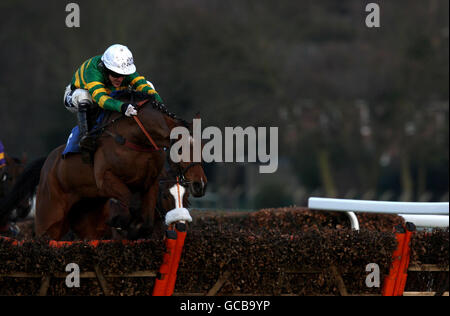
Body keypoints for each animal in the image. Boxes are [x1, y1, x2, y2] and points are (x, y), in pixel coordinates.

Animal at [0, 91, 207, 239]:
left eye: (202, 146)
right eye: (180, 149)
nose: (200, 184)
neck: (135, 137)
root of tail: (47, 163)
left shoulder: (150, 182)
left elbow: (146, 221)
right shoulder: (105, 179)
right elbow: (132, 203)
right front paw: (123, 222)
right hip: (49, 218)